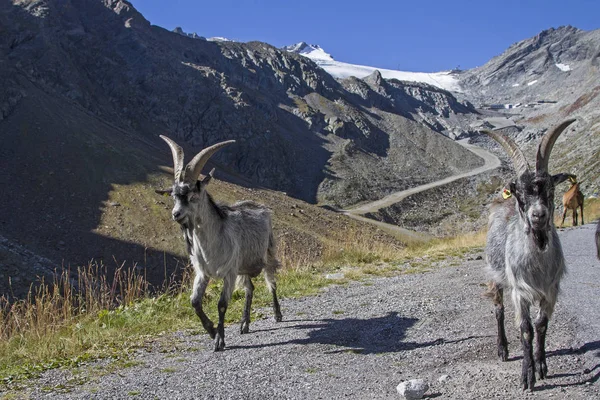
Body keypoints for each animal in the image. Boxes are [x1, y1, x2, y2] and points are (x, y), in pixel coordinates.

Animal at [157, 137, 284, 350]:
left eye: (193, 195)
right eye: (174, 195)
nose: (176, 214)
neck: (212, 245)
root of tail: (261, 207)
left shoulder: (229, 273)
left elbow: (222, 304)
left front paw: (219, 340)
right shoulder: (202, 273)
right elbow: (194, 302)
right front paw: (211, 330)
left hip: (267, 253)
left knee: (271, 282)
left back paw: (277, 314)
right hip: (243, 266)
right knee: (250, 289)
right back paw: (244, 324)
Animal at [482, 119, 576, 390]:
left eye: (551, 190)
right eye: (520, 194)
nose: (538, 215)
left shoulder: (551, 290)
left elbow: (541, 326)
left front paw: (541, 365)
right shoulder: (520, 291)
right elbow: (526, 329)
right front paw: (527, 375)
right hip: (494, 275)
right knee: (499, 310)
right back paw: (502, 349)